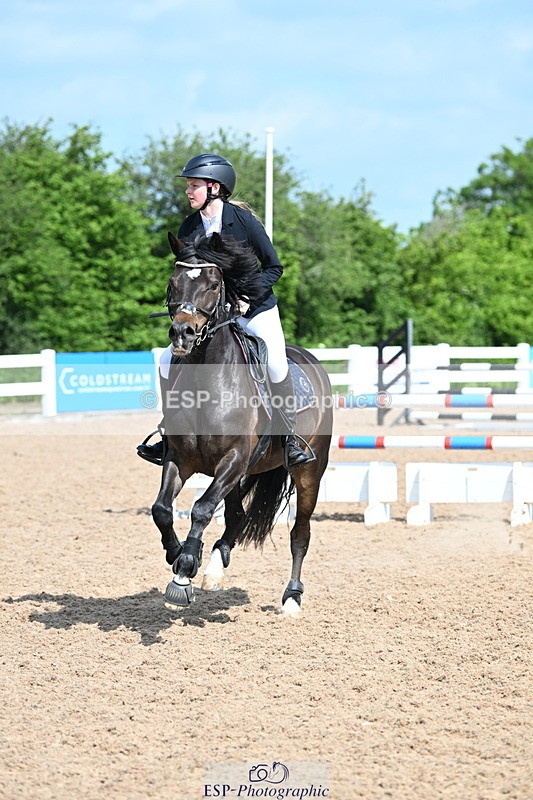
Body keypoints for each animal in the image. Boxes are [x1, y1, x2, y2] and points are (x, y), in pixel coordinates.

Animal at [150, 231, 333, 616]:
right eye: (173, 283)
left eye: (213, 284)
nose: (183, 334)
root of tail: (310, 358)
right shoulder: (181, 459)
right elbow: (162, 509)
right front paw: (178, 556)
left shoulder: (232, 460)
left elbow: (202, 508)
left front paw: (184, 569)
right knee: (236, 517)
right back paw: (214, 569)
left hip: (309, 471)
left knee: (300, 532)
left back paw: (291, 597)